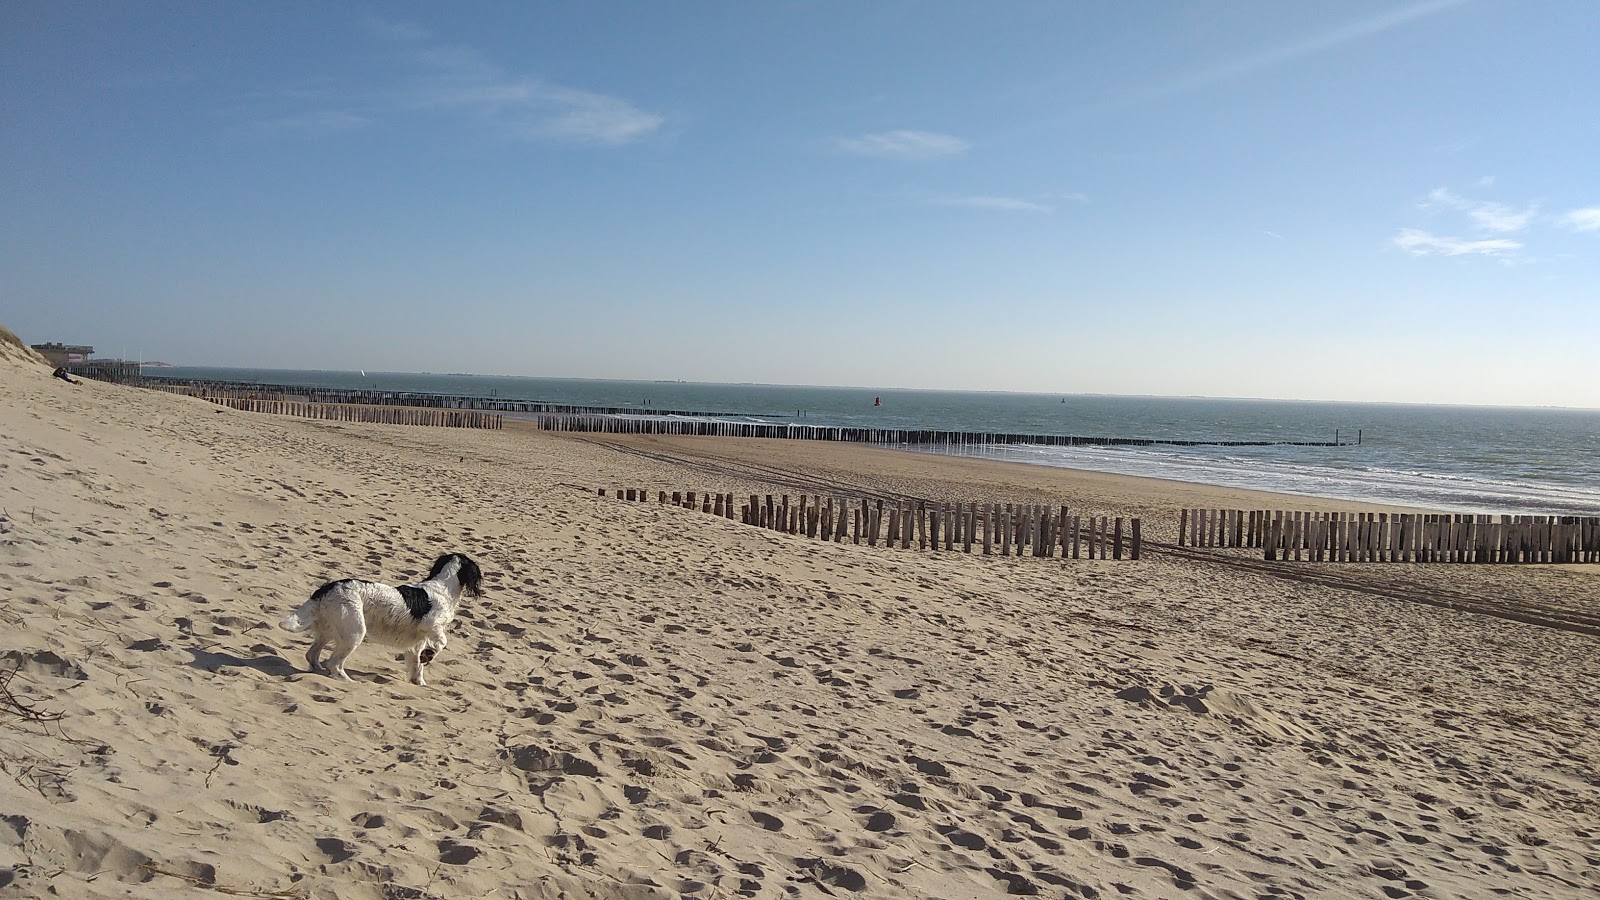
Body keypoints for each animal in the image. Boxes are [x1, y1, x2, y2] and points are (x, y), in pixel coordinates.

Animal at [283, 550, 480, 682]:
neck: (444, 586)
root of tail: (329, 586)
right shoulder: (431, 624)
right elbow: (442, 642)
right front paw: (429, 655)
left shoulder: (416, 643)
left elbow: (417, 667)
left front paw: (420, 682)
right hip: (354, 632)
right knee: (334, 664)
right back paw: (348, 681)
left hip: (329, 629)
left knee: (312, 655)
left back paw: (320, 671)